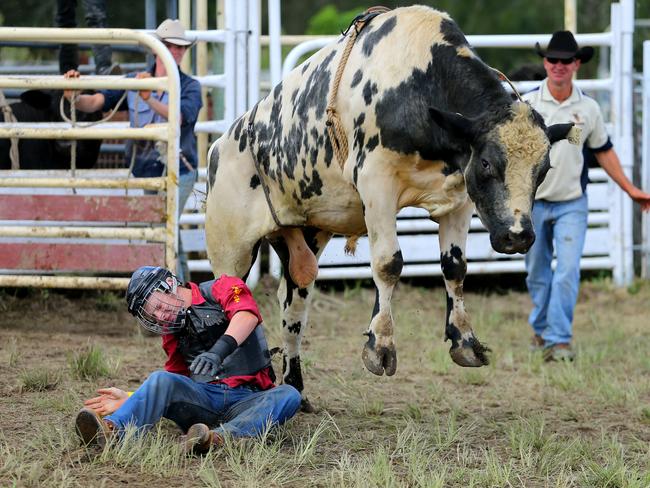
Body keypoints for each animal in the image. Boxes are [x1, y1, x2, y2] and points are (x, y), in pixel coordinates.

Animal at [202, 5, 572, 406]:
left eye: (544, 169)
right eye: (488, 163)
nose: (518, 236)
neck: (418, 84)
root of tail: (220, 144)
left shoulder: (458, 196)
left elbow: (455, 267)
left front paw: (464, 341)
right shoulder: (376, 184)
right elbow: (388, 263)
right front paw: (379, 347)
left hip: (303, 239)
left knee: (293, 306)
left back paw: (294, 387)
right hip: (229, 246)